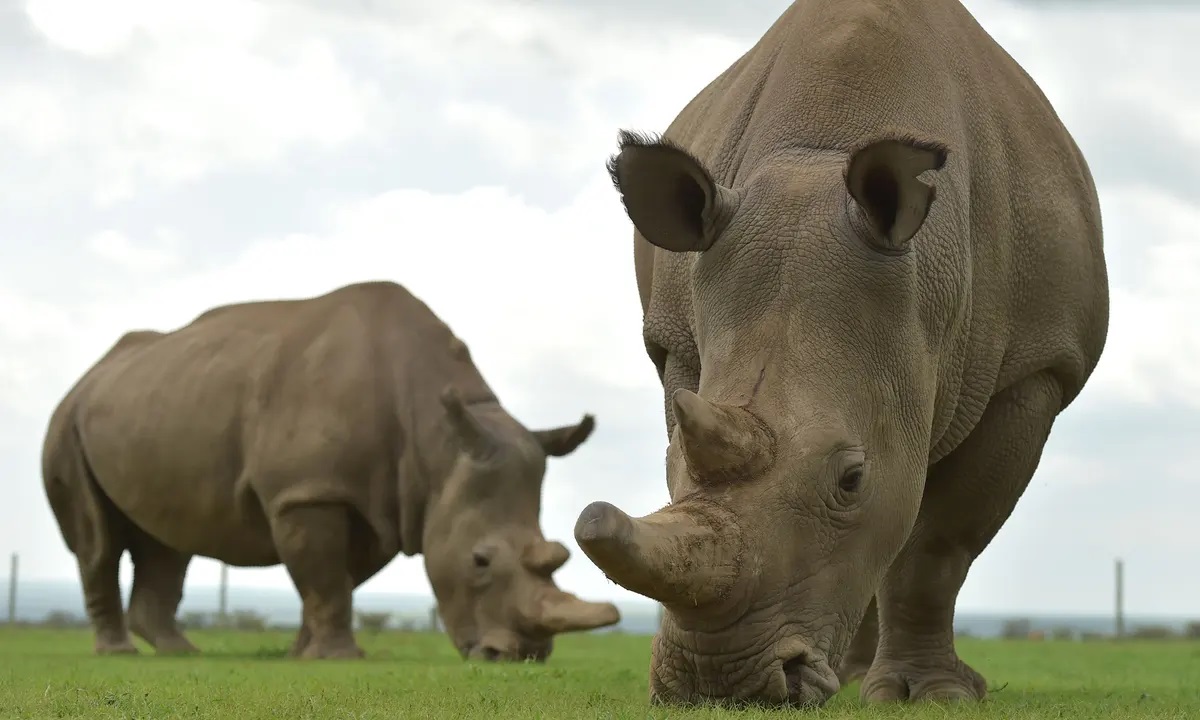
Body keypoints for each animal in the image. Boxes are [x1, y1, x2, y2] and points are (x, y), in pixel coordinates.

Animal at [42, 280, 620, 661]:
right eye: (479, 561)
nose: (523, 656)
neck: (437, 443)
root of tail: (91, 375)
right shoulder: (308, 492)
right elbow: (324, 577)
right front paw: (339, 658)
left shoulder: (383, 501)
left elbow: (335, 577)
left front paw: (304, 654)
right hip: (67, 421)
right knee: (97, 544)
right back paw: (118, 653)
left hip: (156, 401)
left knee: (167, 542)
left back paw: (180, 652)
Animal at [573, 0, 1109, 708]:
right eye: (669, 466)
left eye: (851, 479)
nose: (719, 685)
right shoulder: (678, 348)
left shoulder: (1036, 368)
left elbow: (938, 543)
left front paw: (936, 696)